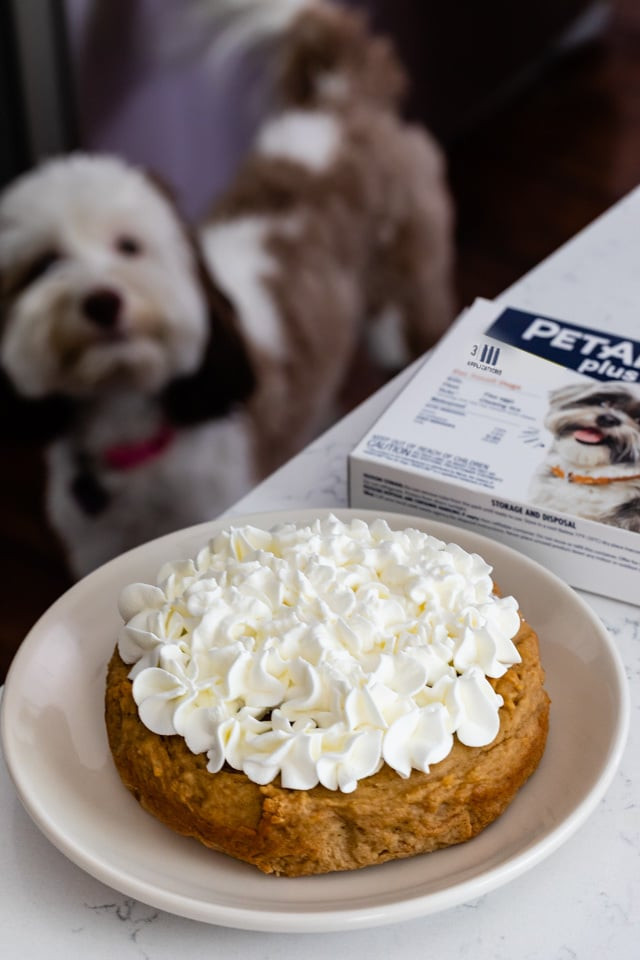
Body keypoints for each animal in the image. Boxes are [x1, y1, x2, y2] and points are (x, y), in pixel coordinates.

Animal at [0, 0, 456, 576]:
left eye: (129, 246)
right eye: (42, 265)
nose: (101, 300)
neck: (135, 426)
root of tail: (335, 99)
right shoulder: (96, 544)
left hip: (405, 285)